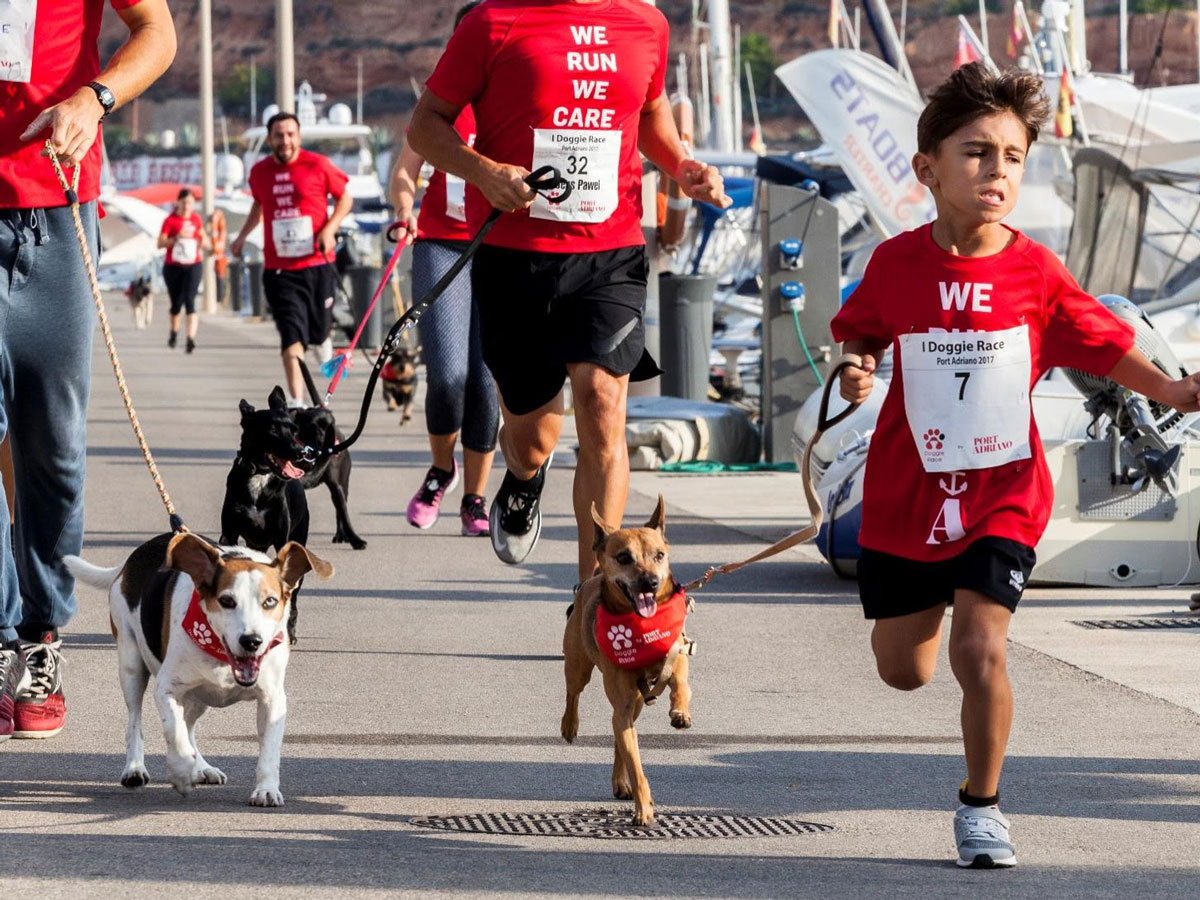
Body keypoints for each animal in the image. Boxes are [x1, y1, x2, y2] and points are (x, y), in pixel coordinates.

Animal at [63, 532, 331, 806]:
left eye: (270, 602)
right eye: (227, 601)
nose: (251, 641)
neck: (222, 657)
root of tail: (133, 558)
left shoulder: (272, 698)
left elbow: (269, 751)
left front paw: (266, 789)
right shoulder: (166, 689)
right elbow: (175, 732)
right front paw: (182, 772)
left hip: (198, 696)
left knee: (189, 724)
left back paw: (201, 767)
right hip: (131, 666)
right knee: (136, 720)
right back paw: (135, 768)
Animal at [219, 384, 314, 643]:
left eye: (294, 430)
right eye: (272, 430)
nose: (300, 452)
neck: (260, 476)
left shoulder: (282, 539)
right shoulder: (229, 533)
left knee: (294, 597)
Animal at [561, 496, 696, 830]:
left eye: (660, 555)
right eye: (624, 557)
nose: (651, 582)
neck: (640, 627)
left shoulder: (677, 655)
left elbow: (681, 684)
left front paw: (680, 712)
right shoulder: (619, 700)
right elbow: (637, 766)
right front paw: (644, 809)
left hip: (633, 702)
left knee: (619, 735)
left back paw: (620, 782)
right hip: (579, 666)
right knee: (574, 694)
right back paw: (569, 726)